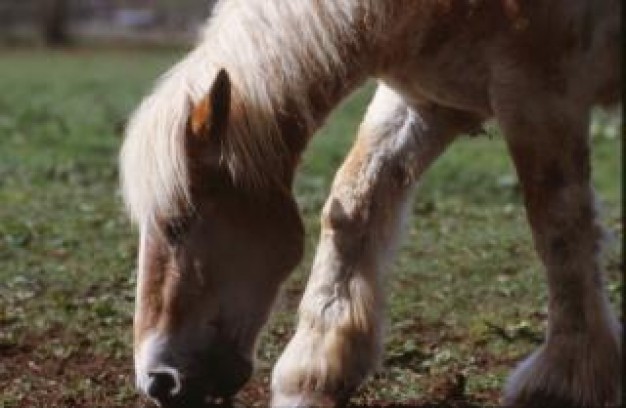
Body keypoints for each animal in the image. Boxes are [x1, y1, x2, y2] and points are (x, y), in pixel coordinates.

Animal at [120, 1, 620, 406]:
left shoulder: (539, 96)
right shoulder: (425, 101)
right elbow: (355, 203)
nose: (158, 382)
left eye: (179, 223)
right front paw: (313, 375)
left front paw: (562, 380)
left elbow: (558, 226)